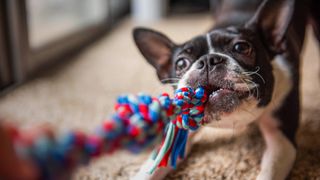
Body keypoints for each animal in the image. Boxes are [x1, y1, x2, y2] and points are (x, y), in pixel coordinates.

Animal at [132, 0, 318, 179]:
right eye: (181, 63)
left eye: (241, 48)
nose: (208, 60)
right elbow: (155, 163)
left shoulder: (282, 139)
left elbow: (269, 172)